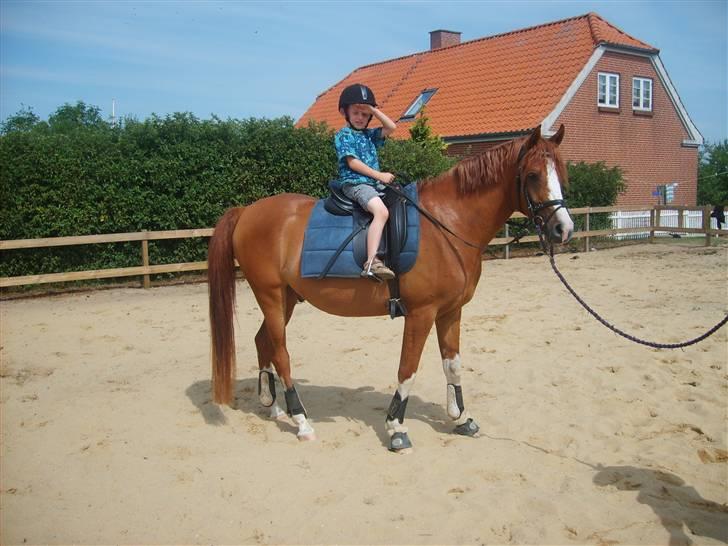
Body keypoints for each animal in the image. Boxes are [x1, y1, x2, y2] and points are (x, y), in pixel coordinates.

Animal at [206, 123, 576, 450]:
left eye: (562, 173)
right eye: (533, 175)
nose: (563, 229)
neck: (447, 223)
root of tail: (247, 211)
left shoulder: (451, 312)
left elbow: (453, 365)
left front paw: (460, 418)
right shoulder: (421, 314)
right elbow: (407, 369)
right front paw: (396, 428)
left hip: (286, 298)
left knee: (263, 342)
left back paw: (274, 406)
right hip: (269, 294)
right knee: (281, 352)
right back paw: (301, 420)